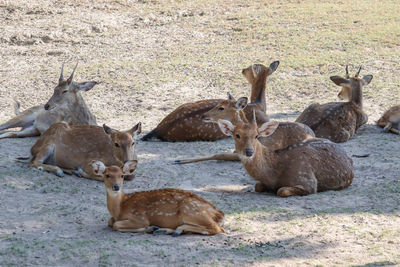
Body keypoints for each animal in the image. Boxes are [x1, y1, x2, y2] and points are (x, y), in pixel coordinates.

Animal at [92, 160, 227, 236]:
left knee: (217, 228)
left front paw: (149, 228)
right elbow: (110, 222)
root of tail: (218, 213)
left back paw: (174, 230)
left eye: (122, 175)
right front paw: (153, 228)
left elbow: (115, 225)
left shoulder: (139, 217)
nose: (116, 186)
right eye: (107, 175)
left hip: (191, 211)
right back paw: (164, 230)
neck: (120, 208)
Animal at [216, 112, 354, 198]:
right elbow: (257, 185)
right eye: (237, 135)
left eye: (256, 135)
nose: (249, 151)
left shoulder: (308, 181)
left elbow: (281, 190)